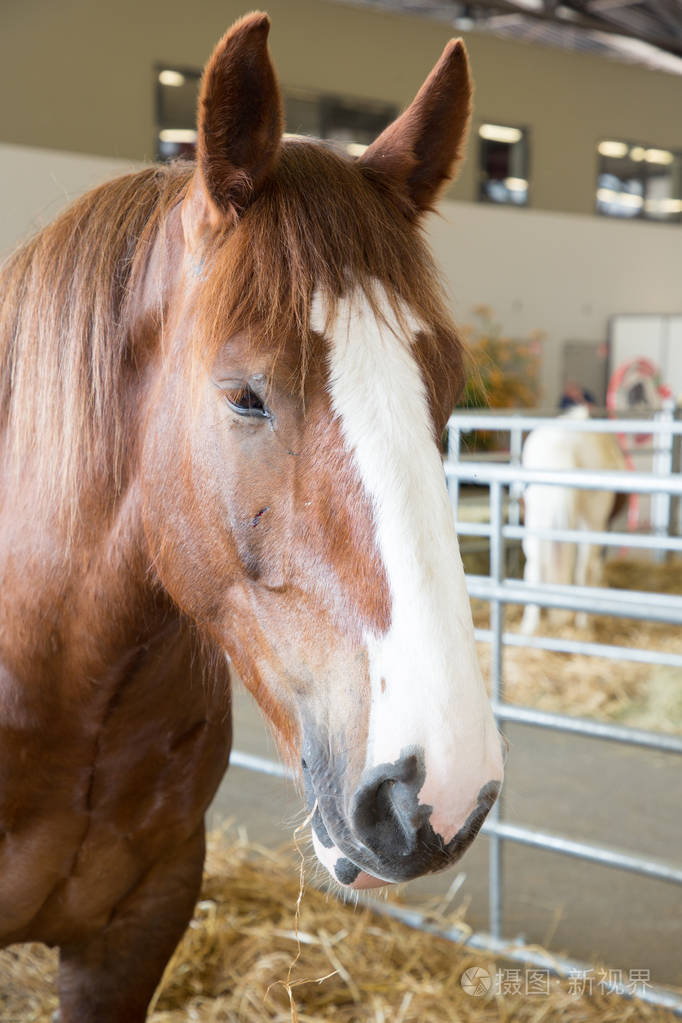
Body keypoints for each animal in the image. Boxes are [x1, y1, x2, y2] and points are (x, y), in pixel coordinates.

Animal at [523, 405, 629, 630]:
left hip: (536, 519)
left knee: (534, 566)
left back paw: (529, 626)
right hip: (592, 523)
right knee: (584, 569)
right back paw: (584, 621)